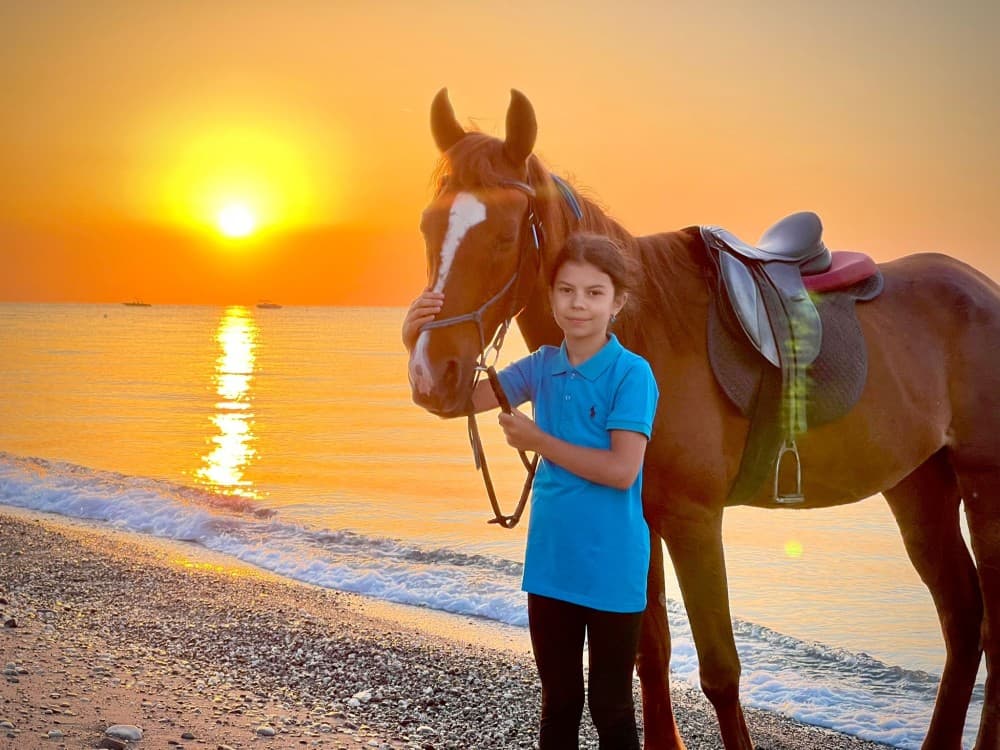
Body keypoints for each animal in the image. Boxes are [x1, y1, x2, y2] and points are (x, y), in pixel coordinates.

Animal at [406, 88, 1000, 750]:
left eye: (506, 234)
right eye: (429, 226)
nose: (431, 374)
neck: (645, 331)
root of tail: (981, 287)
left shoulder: (692, 521)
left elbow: (720, 670)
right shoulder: (641, 516)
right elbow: (651, 652)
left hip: (985, 486)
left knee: (992, 632)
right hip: (919, 485)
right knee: (962, 618)